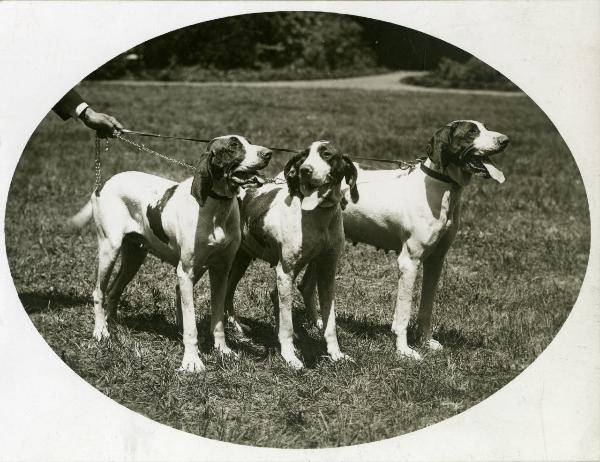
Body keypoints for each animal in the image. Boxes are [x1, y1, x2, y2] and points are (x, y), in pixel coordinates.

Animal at [68, 135, 272, 374]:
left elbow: (218, 318)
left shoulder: (221, 272)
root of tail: (104, 183)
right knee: (99, 292)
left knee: (113, 291)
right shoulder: (186, 273)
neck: (216, 209)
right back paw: (101, 331)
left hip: (136, 257)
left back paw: (114, 324)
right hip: (110, 249)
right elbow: (191, 326)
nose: (268, 153)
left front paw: (223, 350)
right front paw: (191, 361)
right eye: (233, 145)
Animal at [223, 140, 358, 368]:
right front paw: (289, 356)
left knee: (237, 292)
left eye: (327, 155)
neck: (319, 216)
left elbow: (330, 322)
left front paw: (336, 354)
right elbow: (287, 324)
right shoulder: (285, 273)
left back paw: (238, 326)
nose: (305, 170)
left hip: (243, 259)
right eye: (303, 157)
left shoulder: (327, 272)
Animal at [304, 122, 506, 360]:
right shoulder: (409, 262)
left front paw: (426, 341)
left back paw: (317, 324)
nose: (505, 140)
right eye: (472, 131)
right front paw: (404, 350)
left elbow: (426, 307)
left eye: (484, 127)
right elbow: (403, 314)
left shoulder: (435, 261)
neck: (441, 186)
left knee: (305, 286)